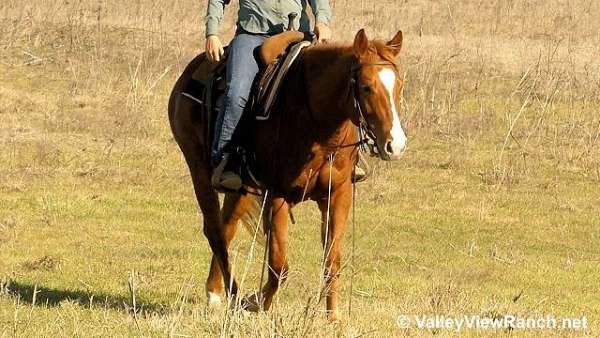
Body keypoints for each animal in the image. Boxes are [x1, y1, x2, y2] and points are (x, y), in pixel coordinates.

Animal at [166, 29, 406, 320]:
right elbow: (279, 267)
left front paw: (333, 318)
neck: (318, 127)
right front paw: (254, 303)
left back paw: (216, 291)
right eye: (366, 87)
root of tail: (191, 70)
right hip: (198, 166)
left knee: (227, 226)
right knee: (214, 229)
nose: (396, 145)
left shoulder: (338, 194)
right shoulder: (278, 195)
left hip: (241, 186)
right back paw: (231, 297)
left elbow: (332, 261)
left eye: (399, 85)